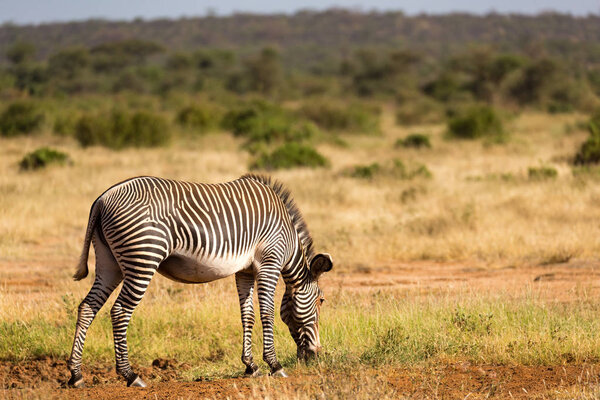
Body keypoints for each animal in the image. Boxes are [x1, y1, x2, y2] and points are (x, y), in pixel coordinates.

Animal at [68, 174, 336, 388]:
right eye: (321, 300)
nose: (316, 355)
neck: (287, 239)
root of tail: (103, 199)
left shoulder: (245, 271)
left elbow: (247, 315)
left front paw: (250, 366)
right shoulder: (269, 262)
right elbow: (267, 313)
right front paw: (274, 364)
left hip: (109, 263)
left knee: (87, 307)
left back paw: (76, 375)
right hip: (143, 258)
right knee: (120, 311)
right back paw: (130, 375)